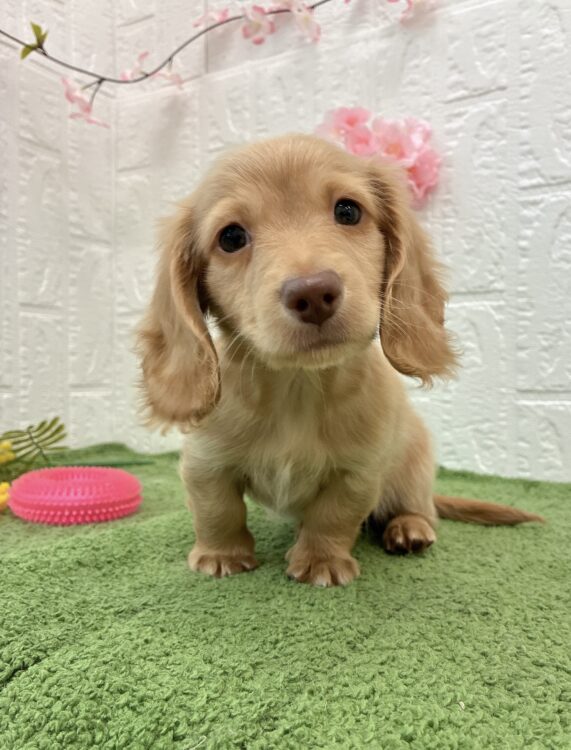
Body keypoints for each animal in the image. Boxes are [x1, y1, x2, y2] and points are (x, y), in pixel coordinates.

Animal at [136, 134, 542, 587]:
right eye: (231, 237)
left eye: (348, 211)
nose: (313, 294)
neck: (298, 387)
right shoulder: (205, 463)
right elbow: (217, 510)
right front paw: (222, 554)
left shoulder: (360, 471)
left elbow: (334, 516)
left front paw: (321, 561)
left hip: (415, 466)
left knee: (420, 507)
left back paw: (410, 527)